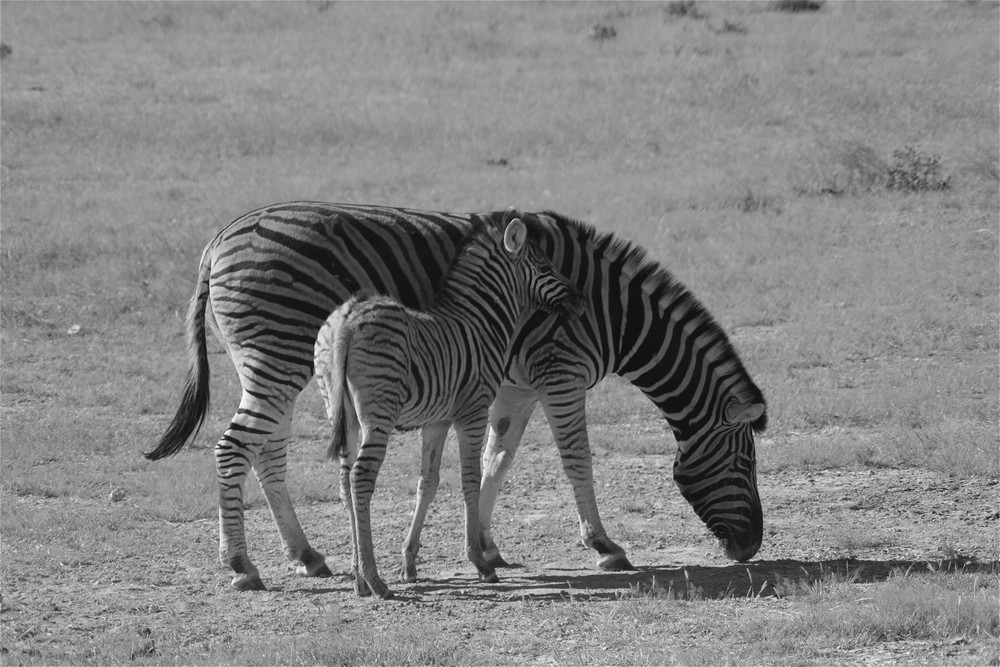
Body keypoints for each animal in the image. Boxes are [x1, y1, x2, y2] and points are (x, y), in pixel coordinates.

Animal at [146, 202, 764, 588]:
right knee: (234, 448)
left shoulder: (514, 387)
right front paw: (604, 545)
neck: (616, 313)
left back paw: (306, 554)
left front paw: (486, 545)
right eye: (745, 463)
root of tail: (218, 240)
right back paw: (241, 564)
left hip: (279, 365)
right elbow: (575, 461)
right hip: (276, 357)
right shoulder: (559, 374)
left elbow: (497, 460)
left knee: (267, 450)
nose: (751, 548)